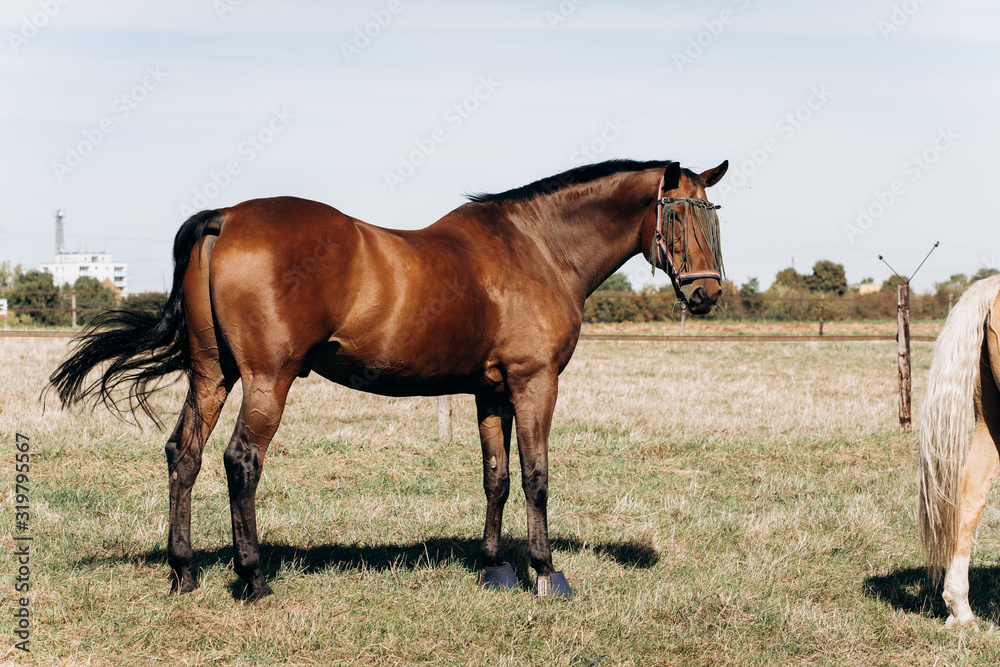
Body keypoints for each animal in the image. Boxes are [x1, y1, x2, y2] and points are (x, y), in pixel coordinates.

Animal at [49, 158, 729, 600]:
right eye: (678, 214)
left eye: (714, 216)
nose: (707, 294)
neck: (537, 248)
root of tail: (227, 218)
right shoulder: (534, 384)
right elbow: (536, 477)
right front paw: (545, 573)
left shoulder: (489, 390)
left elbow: (497, 477)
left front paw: (494, 570)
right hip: (268, 378)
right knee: (241, 460)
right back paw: (254, 578)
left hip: (213, 374)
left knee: (182, 455)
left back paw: (184, 573)